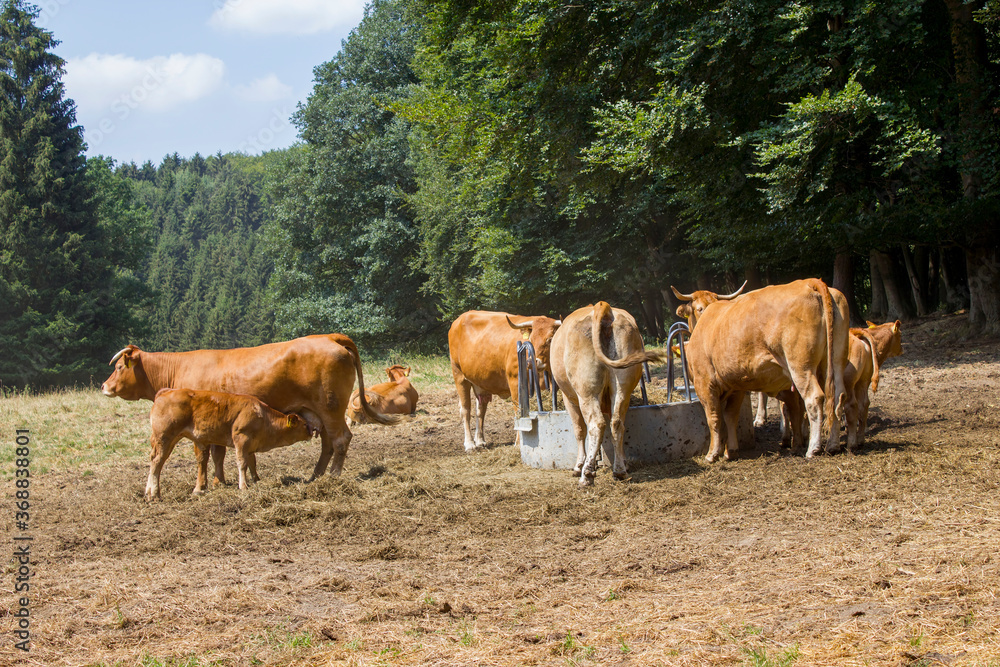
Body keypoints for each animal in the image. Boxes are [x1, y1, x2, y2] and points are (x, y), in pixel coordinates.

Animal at [102, 334, 394, 486]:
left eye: (119, 367)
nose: (104, 386)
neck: (179, 368)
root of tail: (328, 337)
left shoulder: (199, 426)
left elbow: (203, 456)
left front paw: (204, 485)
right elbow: (218, 454)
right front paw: (220, 481)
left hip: (331, 408)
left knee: (340, 439)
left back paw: (332, 476)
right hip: (319, 412)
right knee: (327, 444)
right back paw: (315, 475)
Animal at [145, 386, 314, 500]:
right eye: (305, 424)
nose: (313, 431)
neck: (263, 417)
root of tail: (166, 391)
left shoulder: (250, 446)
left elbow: (252, 463)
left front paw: (256, 481)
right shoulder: (241, 439)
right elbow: (242, 463)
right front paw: (243, 486)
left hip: (164, 440)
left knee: (154, 460)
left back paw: (148, 491)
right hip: (165, 437)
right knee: (157, 462)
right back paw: (155, 494)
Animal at [448, 310, 560, 452]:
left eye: (550, 339)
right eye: (531, 339)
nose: (532, 362)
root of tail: (459, 319)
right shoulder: (515, 381)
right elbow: (518, 410)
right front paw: (518, 442)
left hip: (480, 381)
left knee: (480, 410)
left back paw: (480, 440)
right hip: (459, 375)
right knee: (465, 410)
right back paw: (469, 443)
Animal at [548, 302, 664, 486]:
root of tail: (602, 307)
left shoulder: (569, 399)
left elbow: (579, 430)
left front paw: (579, 465)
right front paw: (623, 462)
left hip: (587, 391)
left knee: (596, 425)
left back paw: (586, 474)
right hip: (623, 387)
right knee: (617, 423)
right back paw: (620, 471)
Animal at [672, 280, 852, 462]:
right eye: (699, 308)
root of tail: (809, 282)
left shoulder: (705, 384)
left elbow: (713, 418)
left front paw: (712, 454)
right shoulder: (736, 386)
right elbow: (730, 417)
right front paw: (731, 451)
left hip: (800, 365)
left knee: (814, 399)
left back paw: (813, 448)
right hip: (835, 361)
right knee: (837, 397)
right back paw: (832, 445)